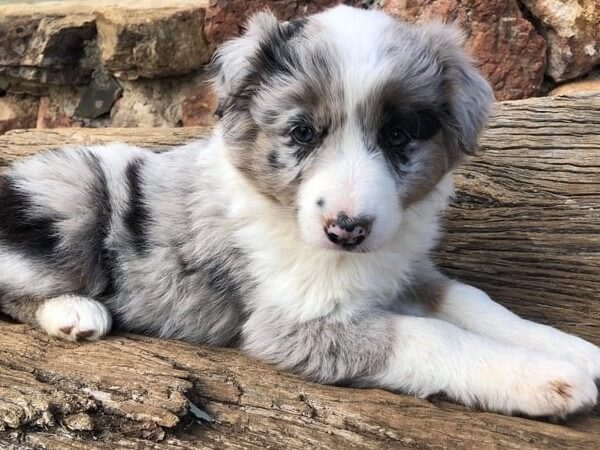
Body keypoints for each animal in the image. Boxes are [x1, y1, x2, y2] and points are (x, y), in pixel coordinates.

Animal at [1, 4, 600, 418]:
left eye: (398, 134)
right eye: (301, 133)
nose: (347, 229)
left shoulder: (406, 268)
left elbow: (472, 301)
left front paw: (574, 350)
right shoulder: (294, 324)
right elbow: (431, 335)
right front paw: (544, 377)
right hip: (72, 193)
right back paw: (75, 313)